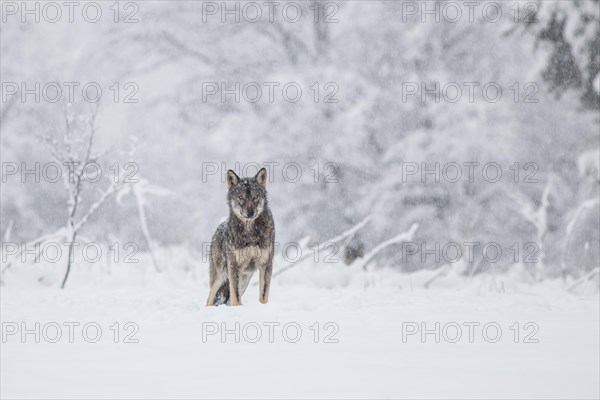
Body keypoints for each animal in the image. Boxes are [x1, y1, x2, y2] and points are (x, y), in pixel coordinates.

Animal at [205, 166, 274, 306]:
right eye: (241, 197)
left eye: (256, 196)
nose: (250, 213)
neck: (250, 233)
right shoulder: (234, 267)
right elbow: (236, 299)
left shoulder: (266, 265)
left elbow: (263, 296)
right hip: (220, 277)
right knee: (209, 299)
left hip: (244, 280)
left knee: (228, 300)